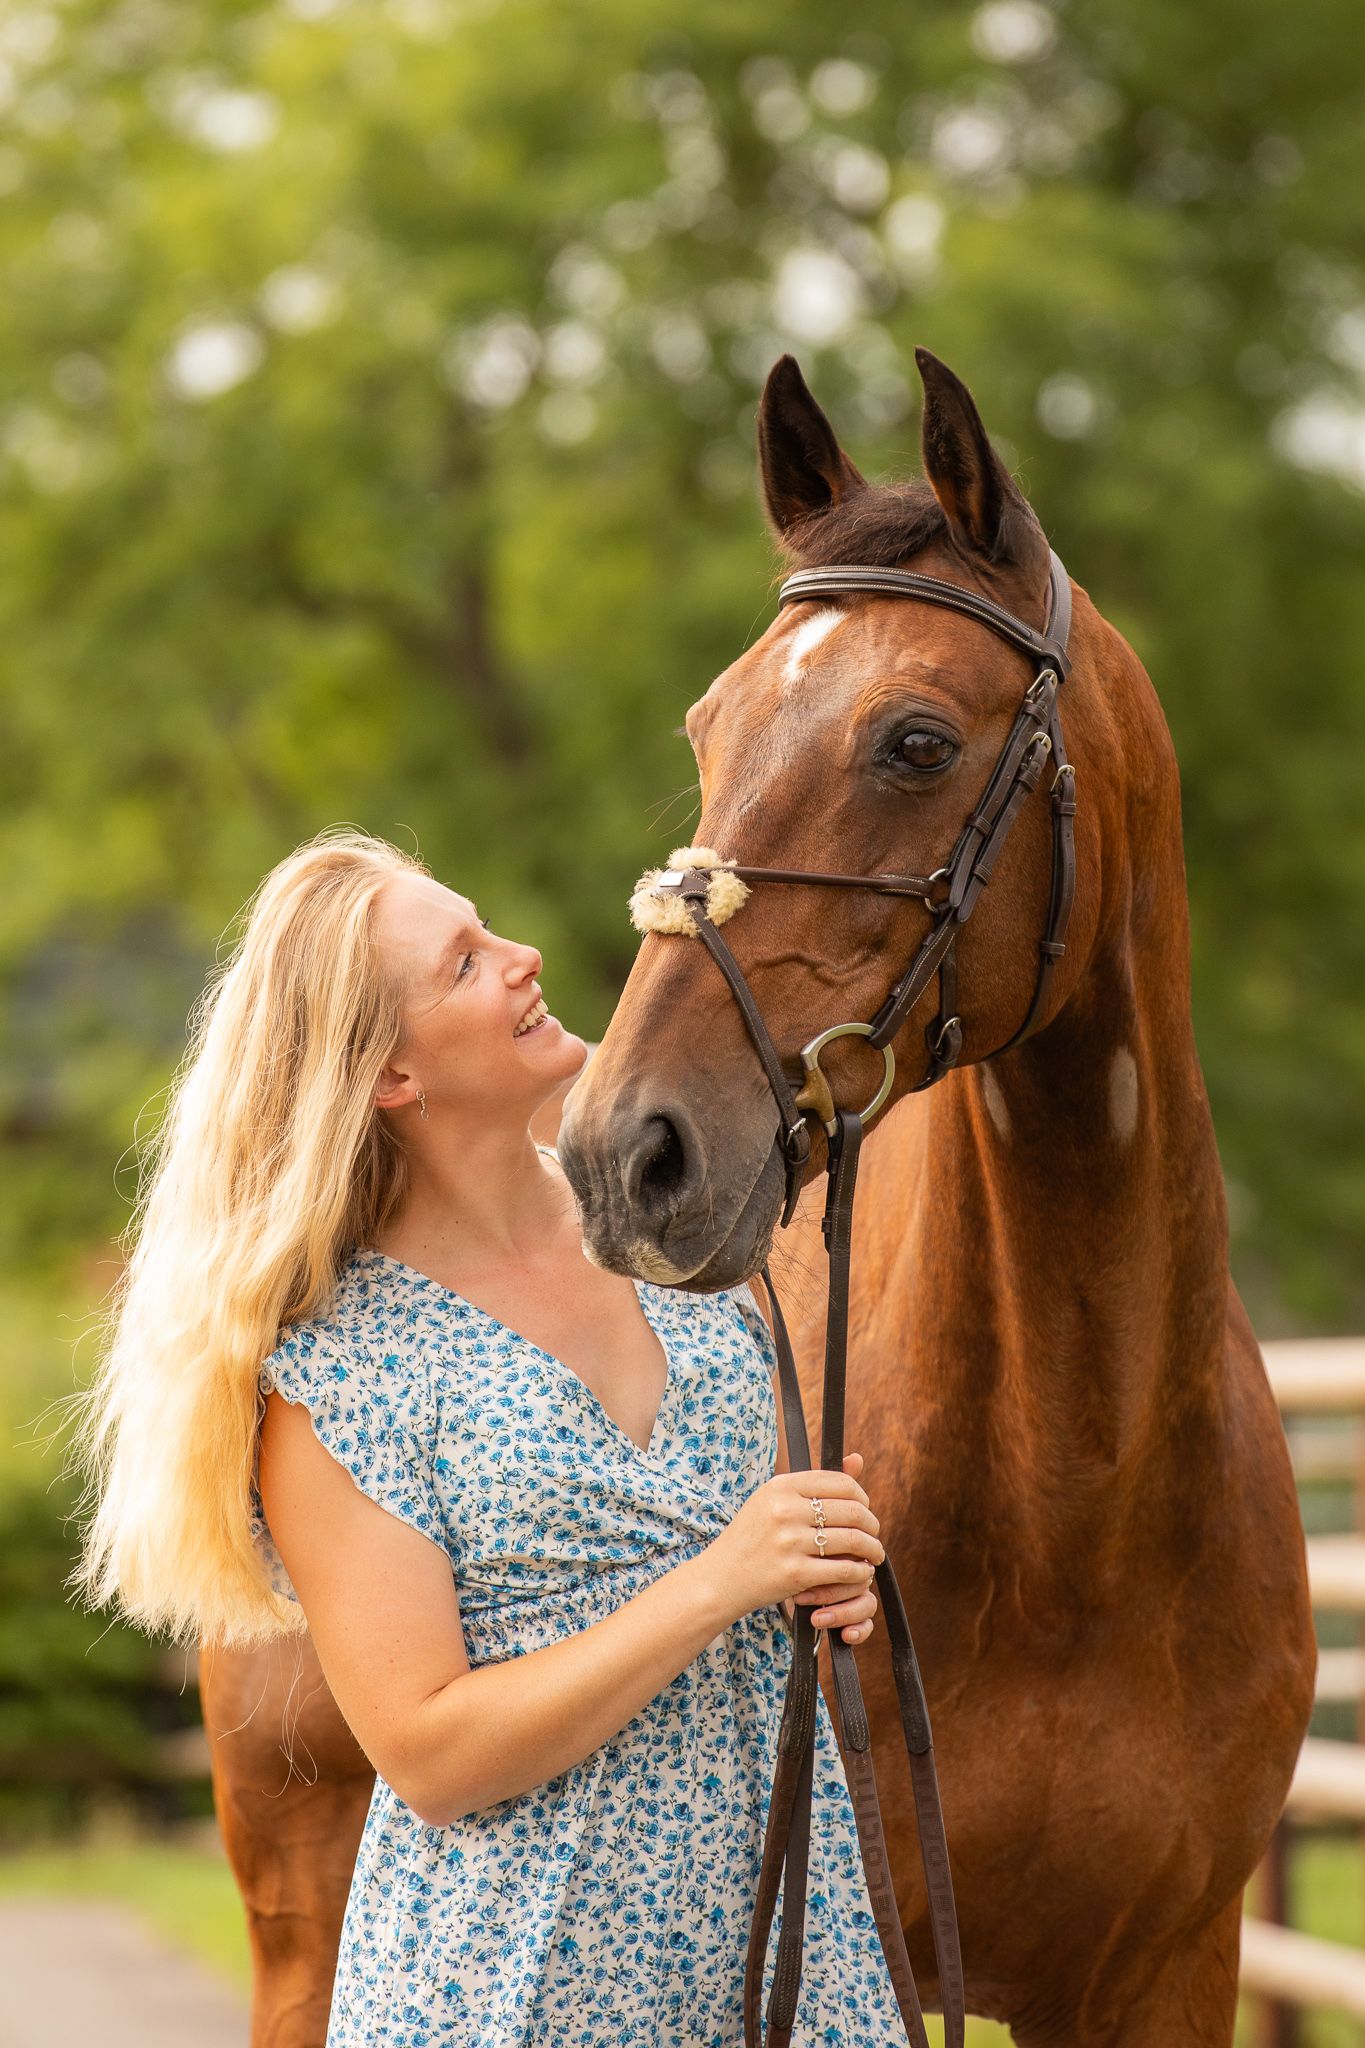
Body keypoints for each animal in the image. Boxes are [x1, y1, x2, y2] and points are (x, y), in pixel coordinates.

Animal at [553, 348, 1316, 2044]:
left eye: (913, 741)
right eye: (707, 727)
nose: (622, 1155)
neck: (1079, 1511)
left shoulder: (1166, 1970)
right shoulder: (867, 1952)